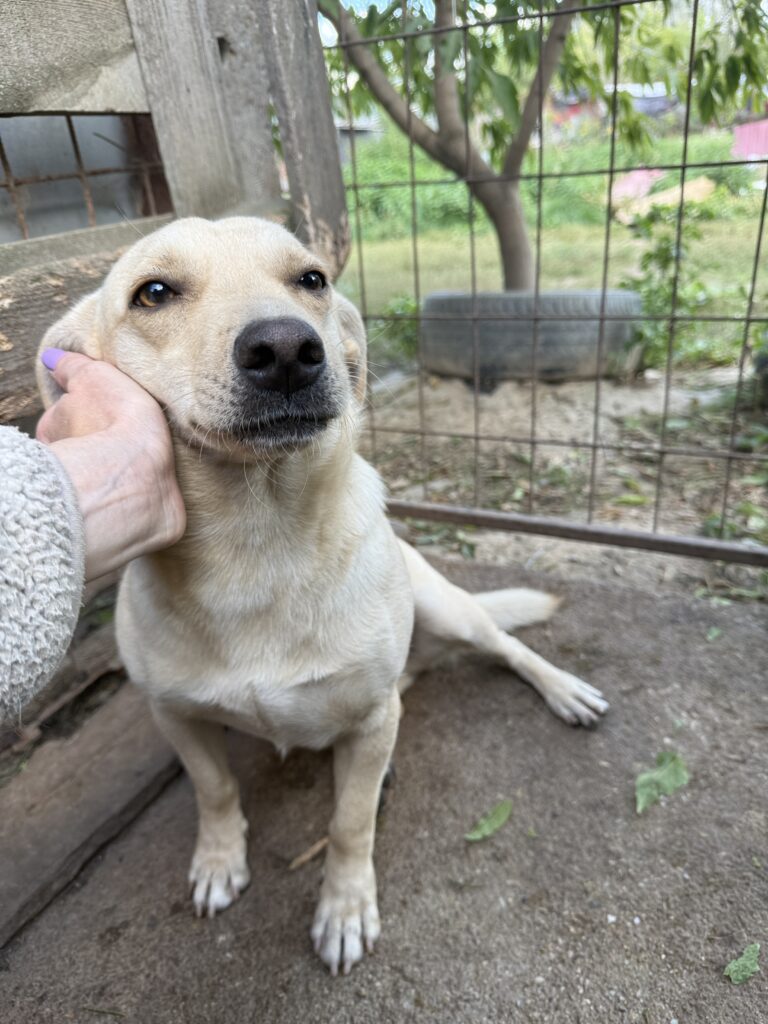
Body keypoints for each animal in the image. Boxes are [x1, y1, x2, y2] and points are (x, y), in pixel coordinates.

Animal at [37, 217, 608, 975]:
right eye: (152, 293)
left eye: (311, 279)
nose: (285, 349)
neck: (257, 548)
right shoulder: (175, 715)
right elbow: (215, 788)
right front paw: (219, 860)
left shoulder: (369, 722)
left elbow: (349, 822)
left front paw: (344, 908)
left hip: (447, 609)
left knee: (506, 645)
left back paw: (564, 690)